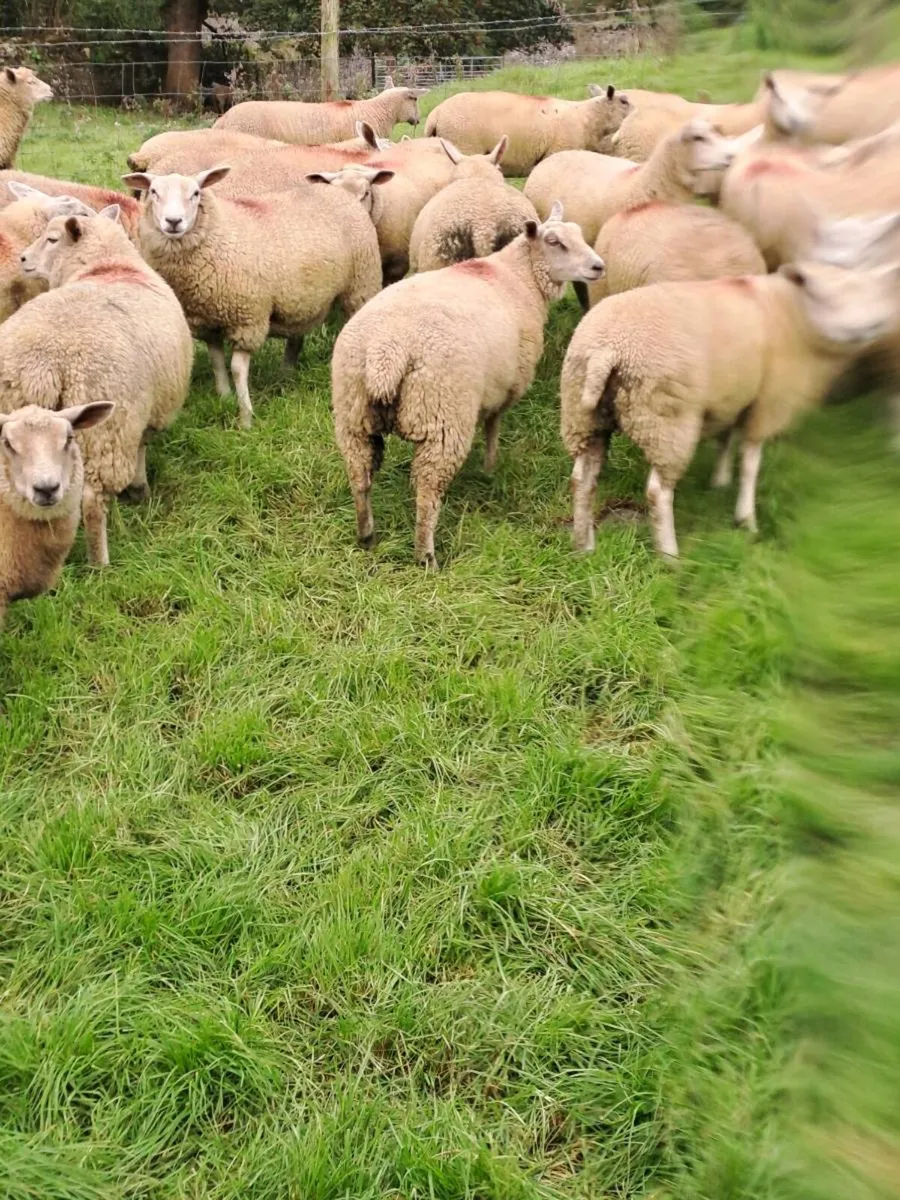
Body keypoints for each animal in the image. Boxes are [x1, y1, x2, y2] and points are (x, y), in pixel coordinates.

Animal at [3, 209, 192, 566]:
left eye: (52, 239)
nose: (22, 259)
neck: (109, 264)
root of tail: (43, 366)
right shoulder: (138, 414)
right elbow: (142, 447)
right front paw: (141, 489)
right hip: (104, 426)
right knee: (91, 500)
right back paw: (100, 563)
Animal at [122, 166, 382, 429]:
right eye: (154, 192)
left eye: (195, 193)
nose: (173, 221)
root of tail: (342, 195)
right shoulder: (206, 320)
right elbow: (216, 360)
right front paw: (224, 396)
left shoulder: (248, 319)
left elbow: (237, 369)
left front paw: (246, 417)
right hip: (303, 299)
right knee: (297, 334)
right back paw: (286, 373)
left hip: (361, 285)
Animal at [331, 202, 605, 568]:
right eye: (554, 242)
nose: (598, 266)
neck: (518, 277)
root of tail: (385, 353)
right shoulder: (508, 382)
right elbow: (493, 424)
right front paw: (490, 466)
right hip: (443, 419)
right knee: (427, 494)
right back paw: (426, 556)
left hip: (353, 416)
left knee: (360, 478)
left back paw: (366, 537)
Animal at [560, 263, 900, 559]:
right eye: (821, 296)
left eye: (871, 296)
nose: (860, 330)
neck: (793, 315)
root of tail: (608, 348)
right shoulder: (768, 401)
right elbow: (750, 463)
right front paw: (746, 519)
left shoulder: (732, 397)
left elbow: (725, 439)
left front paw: (719, 482)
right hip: (666, 420)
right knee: (658, 492)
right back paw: (670, 557)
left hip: (584, 414)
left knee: (582, 480)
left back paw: (583, 545)